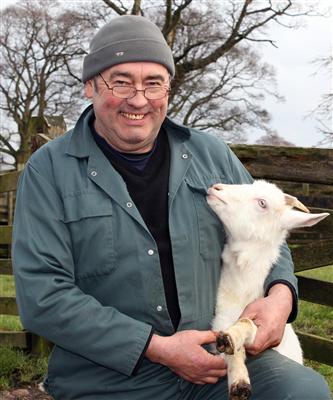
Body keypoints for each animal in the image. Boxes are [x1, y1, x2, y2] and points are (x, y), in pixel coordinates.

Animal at [206, 180, 328, 400]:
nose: (216, 187)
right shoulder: (220, 320)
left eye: (262, 203)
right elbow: (232, 353)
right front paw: (239, 380)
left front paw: (232, 338)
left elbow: (247, 323)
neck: (241, 293)